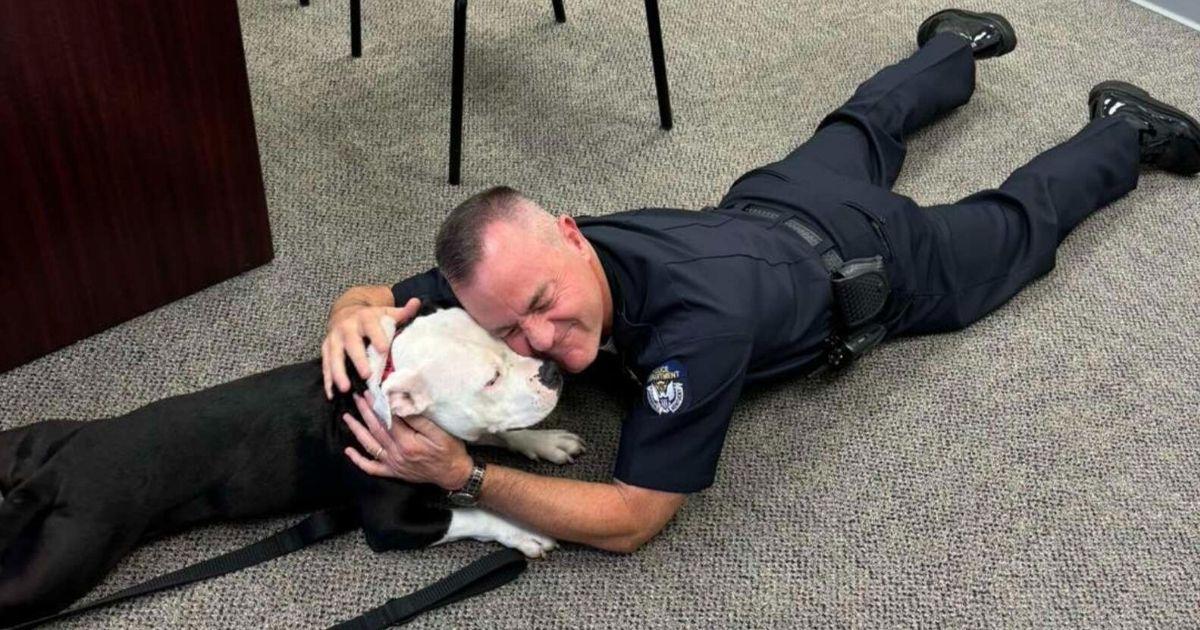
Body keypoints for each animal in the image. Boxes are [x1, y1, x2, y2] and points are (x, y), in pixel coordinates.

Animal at [0, 307, 583, 619]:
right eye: (489, 379)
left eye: (502, 339)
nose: (551, 371)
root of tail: (57, 470)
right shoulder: (389, 523)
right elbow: (472, 512)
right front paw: (522, 531)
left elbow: (497, 436)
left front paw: (544, 441)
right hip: (68, 555)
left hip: (38, 438)